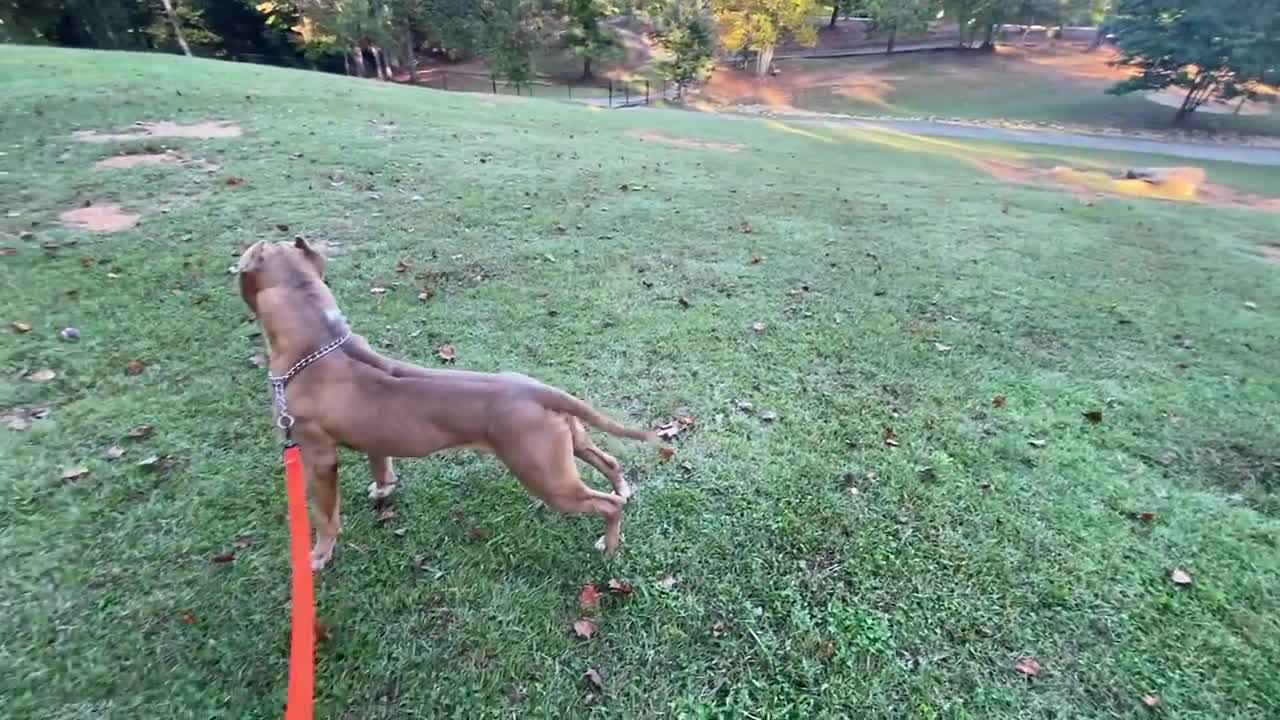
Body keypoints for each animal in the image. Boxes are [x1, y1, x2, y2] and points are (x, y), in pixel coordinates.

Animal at [238, 237, 660, 566]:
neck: (319, 342)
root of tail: (538, 390)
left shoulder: (319, 458)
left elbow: (325, 514)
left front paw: (319, 555)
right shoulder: (375, 437)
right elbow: (381, 462)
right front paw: (384, 489)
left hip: (547, 478)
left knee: (606, 505)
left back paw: (608, 545)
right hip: (568, 445)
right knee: (609, 461)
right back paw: (622, 491)